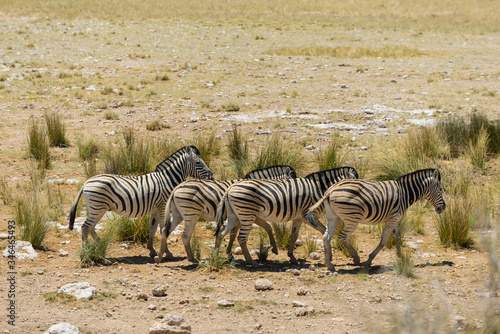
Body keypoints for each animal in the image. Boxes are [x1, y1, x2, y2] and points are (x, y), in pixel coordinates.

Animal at [68, 145, 213, 258]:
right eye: (198, 163)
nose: (212, 176)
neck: (167, 180)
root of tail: (86, 182)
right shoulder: (162, 207)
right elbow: (163, 229)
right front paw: (167, 253)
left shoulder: (155, 209)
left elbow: (153, 228)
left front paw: (152, 250)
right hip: (97, 207)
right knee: (85, 227)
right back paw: (87, 251)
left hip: (96, 208)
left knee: (91, 228)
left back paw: (99, 244)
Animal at [154, 164, 296, 264]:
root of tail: (176, 188)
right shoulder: (249, 215)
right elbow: (236, 234)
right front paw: (229, 254)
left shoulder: (240, 216)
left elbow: (238, 233)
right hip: (191, 214)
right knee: (184, 235)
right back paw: (191, 258)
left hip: (178, 214)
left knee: (165, 230)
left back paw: (160, 255)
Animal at [213, 166, 358, 268]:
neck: (319, 189)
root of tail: (229, 188)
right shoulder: (307, 215)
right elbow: (324, 231)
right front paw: (333, 256)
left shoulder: (298, 218)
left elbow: (294, 235)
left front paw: (291, 257)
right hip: (247, 214)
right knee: (241, 238)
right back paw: (252, 262)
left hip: (234, 215)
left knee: (221, 233)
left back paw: (215, 255)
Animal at [308, 168, 446, 270]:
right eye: (440, 189)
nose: (443, 207)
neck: (405, 193)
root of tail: (330, 190)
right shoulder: (392, 219)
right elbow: (384, 241)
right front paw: (369, 260)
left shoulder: (394, 219)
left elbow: (397, 238)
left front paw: (400, 256)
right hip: (352, 218)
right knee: (342, 237)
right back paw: (356, 258)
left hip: (334, 217)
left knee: (326, 237)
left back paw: (329, 264)